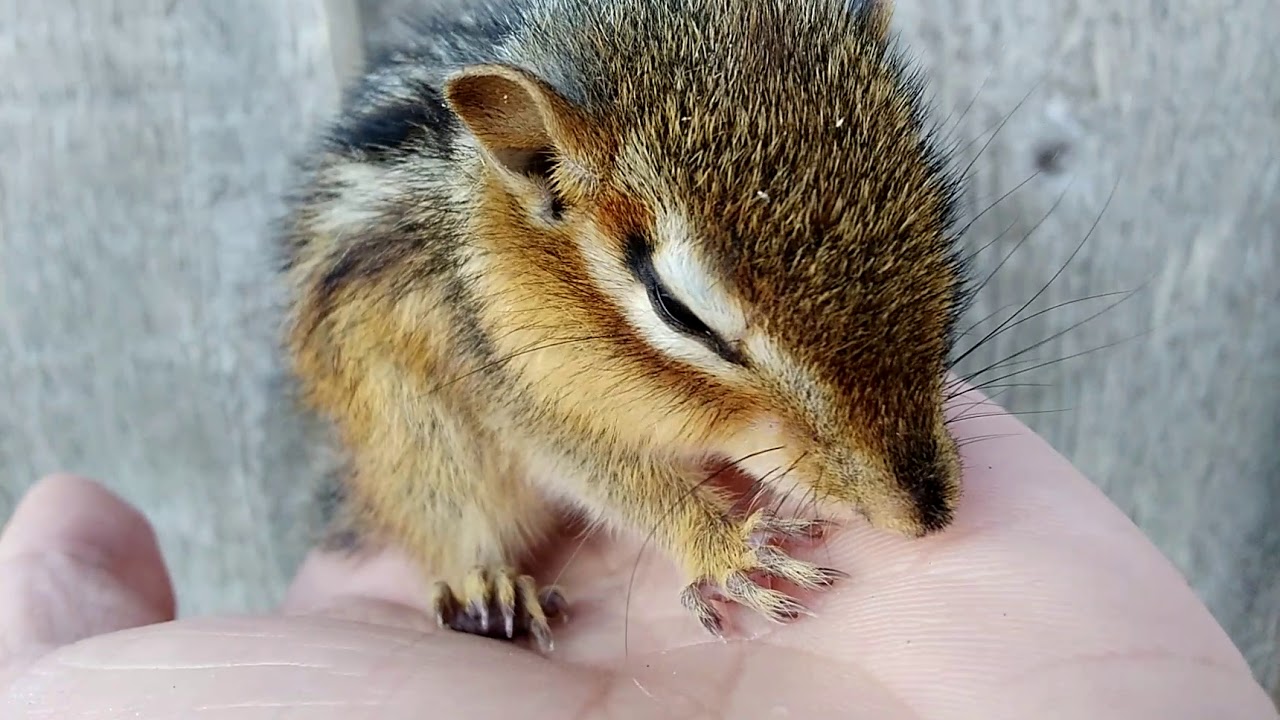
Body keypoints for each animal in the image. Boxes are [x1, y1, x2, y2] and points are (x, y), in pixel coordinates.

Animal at [277, 0, 970, 653]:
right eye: (676, 309)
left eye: (935, 206)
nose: (927, 513)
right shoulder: (514, 392)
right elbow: (619, 481)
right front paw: (727, 548)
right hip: (409, 436)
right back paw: (488, 589)